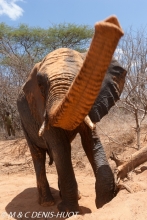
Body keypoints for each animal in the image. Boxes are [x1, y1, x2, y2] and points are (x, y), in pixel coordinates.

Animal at [16, 16, 126, 213]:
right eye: (41, 85)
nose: (110, 22)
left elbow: (91, 142)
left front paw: (105, 202)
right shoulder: (40, 110)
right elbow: (60, 148)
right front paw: (67, 210)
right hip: (24, 123)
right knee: (39, 156)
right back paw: (47, 202)